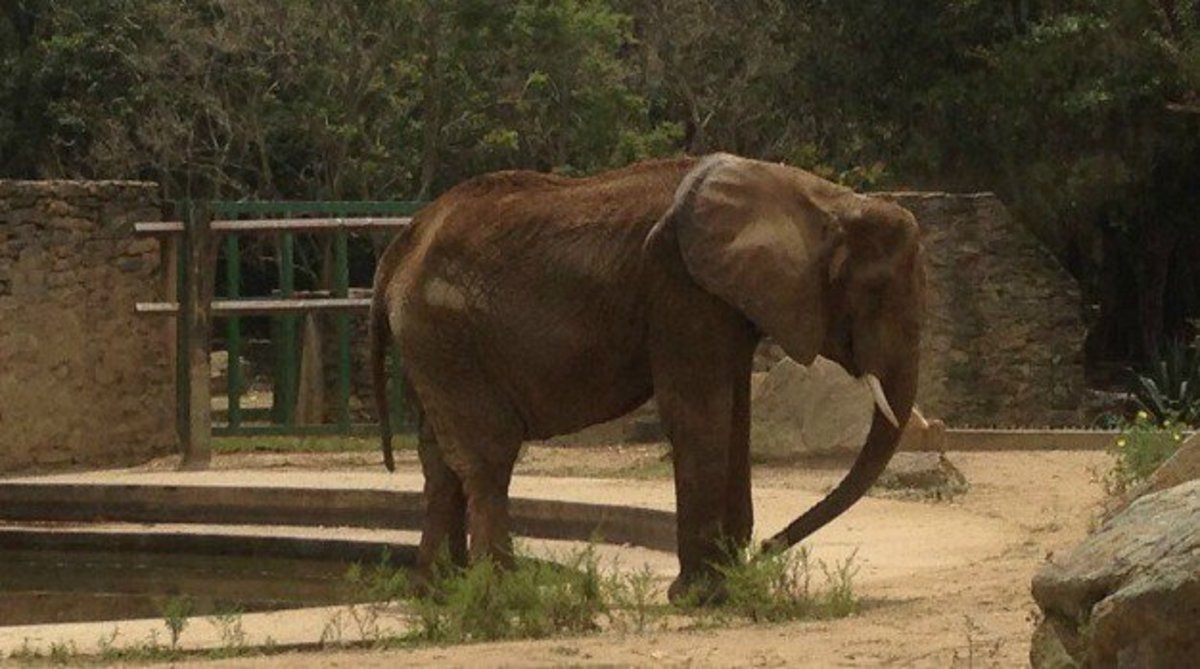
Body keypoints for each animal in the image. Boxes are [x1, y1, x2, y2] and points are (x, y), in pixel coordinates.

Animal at [369, 153, 921, 604]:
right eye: (875, 289)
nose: (767, 548)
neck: (813, 195)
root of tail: (399, 246)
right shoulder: (678, 282)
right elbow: (697, 414)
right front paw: (704, 596)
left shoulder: (723, 300)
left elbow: (735, 417)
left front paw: (728, 583)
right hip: (444, 333)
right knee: (488, 455)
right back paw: (501, 596)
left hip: (435, 343)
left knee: (441, 459)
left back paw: (439, 592)